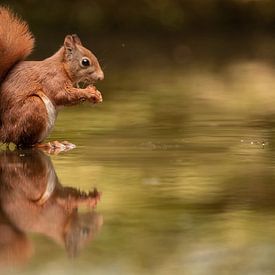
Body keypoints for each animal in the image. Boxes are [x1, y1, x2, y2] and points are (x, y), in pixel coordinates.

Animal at [0, 6, 104, 150]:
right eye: (85, 62)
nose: (101, 77)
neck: (62, 67)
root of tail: (4, 131)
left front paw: (97, 94)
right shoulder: (52, 79)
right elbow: (63, 95)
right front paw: (89, 92)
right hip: (34, 107)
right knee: (24, 143)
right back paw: (51, 145)